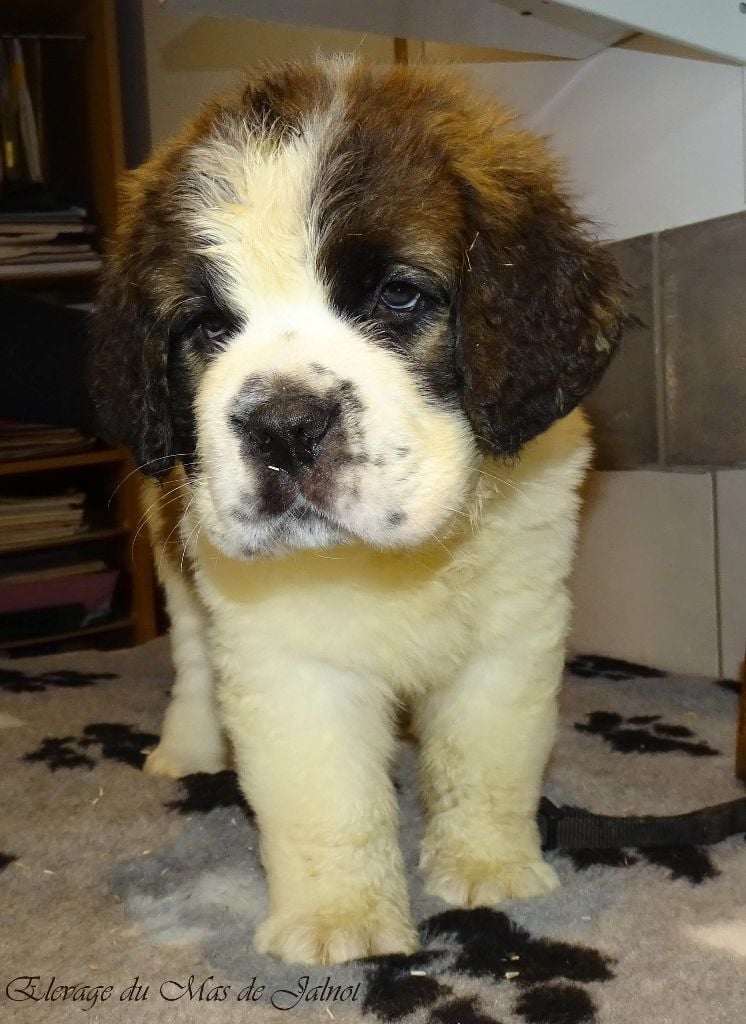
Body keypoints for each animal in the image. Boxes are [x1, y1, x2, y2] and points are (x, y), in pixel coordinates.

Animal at [89, 59, 625, 965]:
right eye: (206, 326)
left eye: (399, 298)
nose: (284, 424)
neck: (396, 564)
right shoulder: (283, 659)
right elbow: (328, 799)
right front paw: (339, 918)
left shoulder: (513, 632)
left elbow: (485, 756)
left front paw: (488, 865)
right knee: (192, 657)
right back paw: (186, 748)